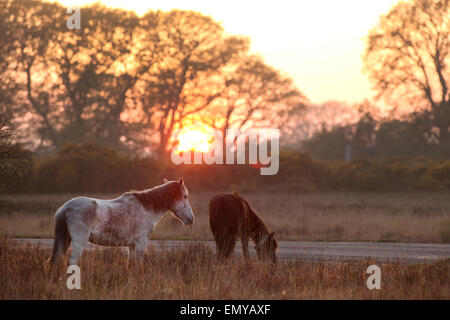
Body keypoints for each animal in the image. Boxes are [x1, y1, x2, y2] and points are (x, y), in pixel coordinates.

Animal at [48, 179, 194, 266]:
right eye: (185, 196)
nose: (191, 218)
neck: (146, 206)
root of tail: (66, 207)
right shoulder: (140, 244)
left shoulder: (132, 246)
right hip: (79, 242)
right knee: (72, 261)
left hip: (66, 239)